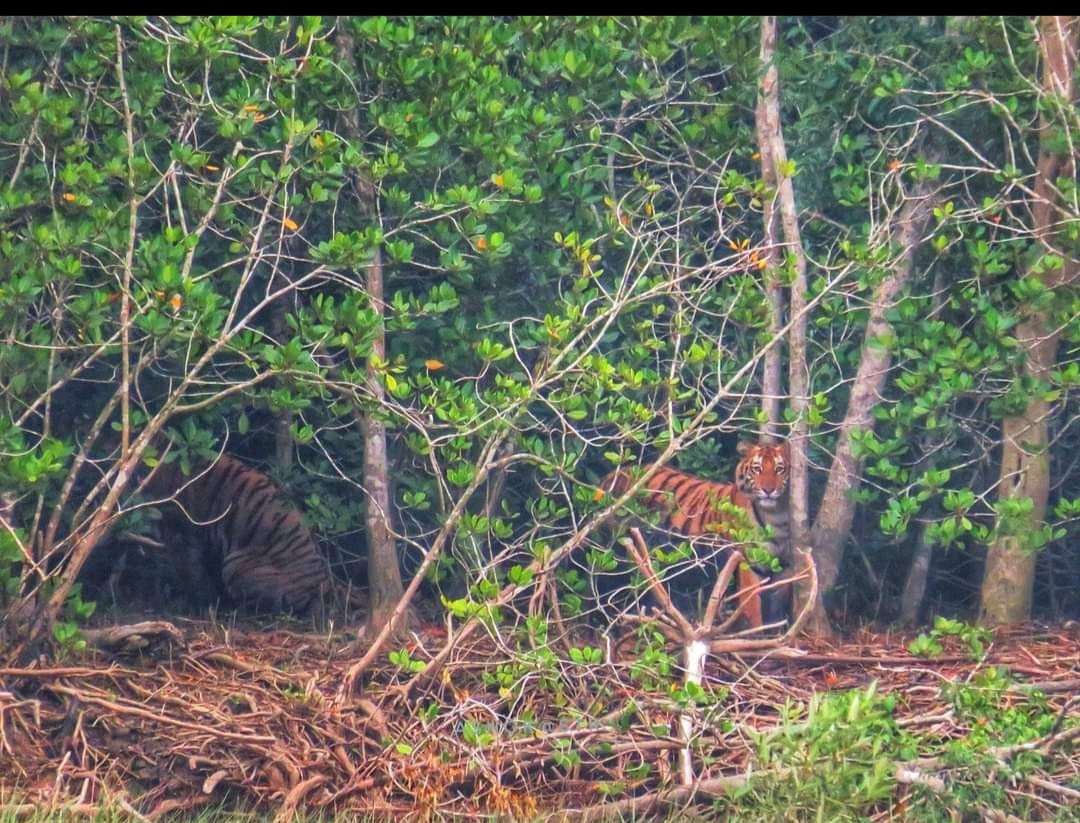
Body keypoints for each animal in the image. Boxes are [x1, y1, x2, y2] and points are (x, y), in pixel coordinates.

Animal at [597, 440, 791, 628]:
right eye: (757, 469)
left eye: (779, 469)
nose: (768, 490)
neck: (776, 516)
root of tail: (612, 476)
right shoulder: (747, 563)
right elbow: (751, 607)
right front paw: (755, 632)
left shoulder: (781, 568)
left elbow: (775, 608)